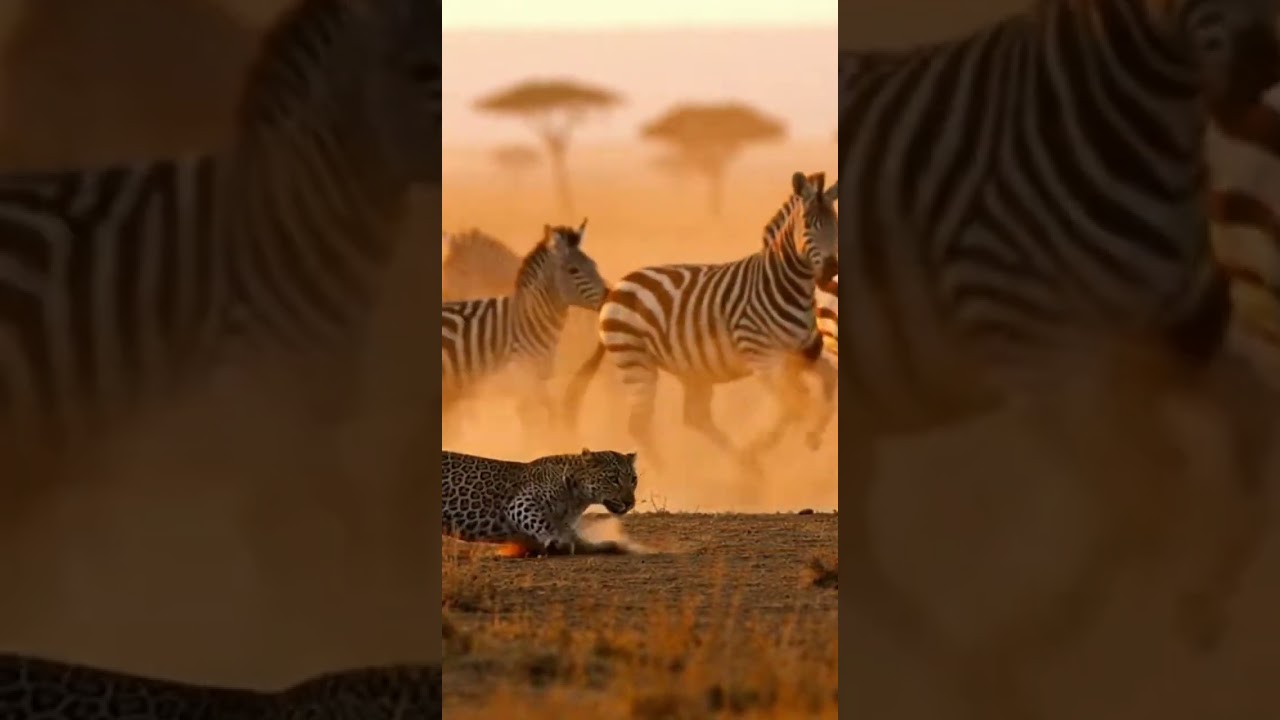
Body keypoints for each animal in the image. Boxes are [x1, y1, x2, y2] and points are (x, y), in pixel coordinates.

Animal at [442, 447, 639, 557]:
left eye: (633, 480)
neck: (578, 499)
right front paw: (558, 543)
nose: (629, 502)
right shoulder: (521, 502)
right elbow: (544, 523)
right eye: (613, 479)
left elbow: (582, 541)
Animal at [562, 171, 839, 480]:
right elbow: (794, 404)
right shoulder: (765, 359)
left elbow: (823, 387)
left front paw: (810, 435)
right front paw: (774, 444)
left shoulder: (805, 353)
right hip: (636, 362)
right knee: (640, 425)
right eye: (808, 226)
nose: (831, 271)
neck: (786, 286)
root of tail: (617, 287)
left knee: (694, 417)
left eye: (835, 223)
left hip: (689, 368)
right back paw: (671, 476)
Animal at [836, 0, 1280, 687]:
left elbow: (1240, 439)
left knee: (855, 560)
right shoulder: (1048, 364)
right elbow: (1146, 501)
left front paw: (1201, 600)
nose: (1262, 71)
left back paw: (970, 678)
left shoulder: (1172, 332)